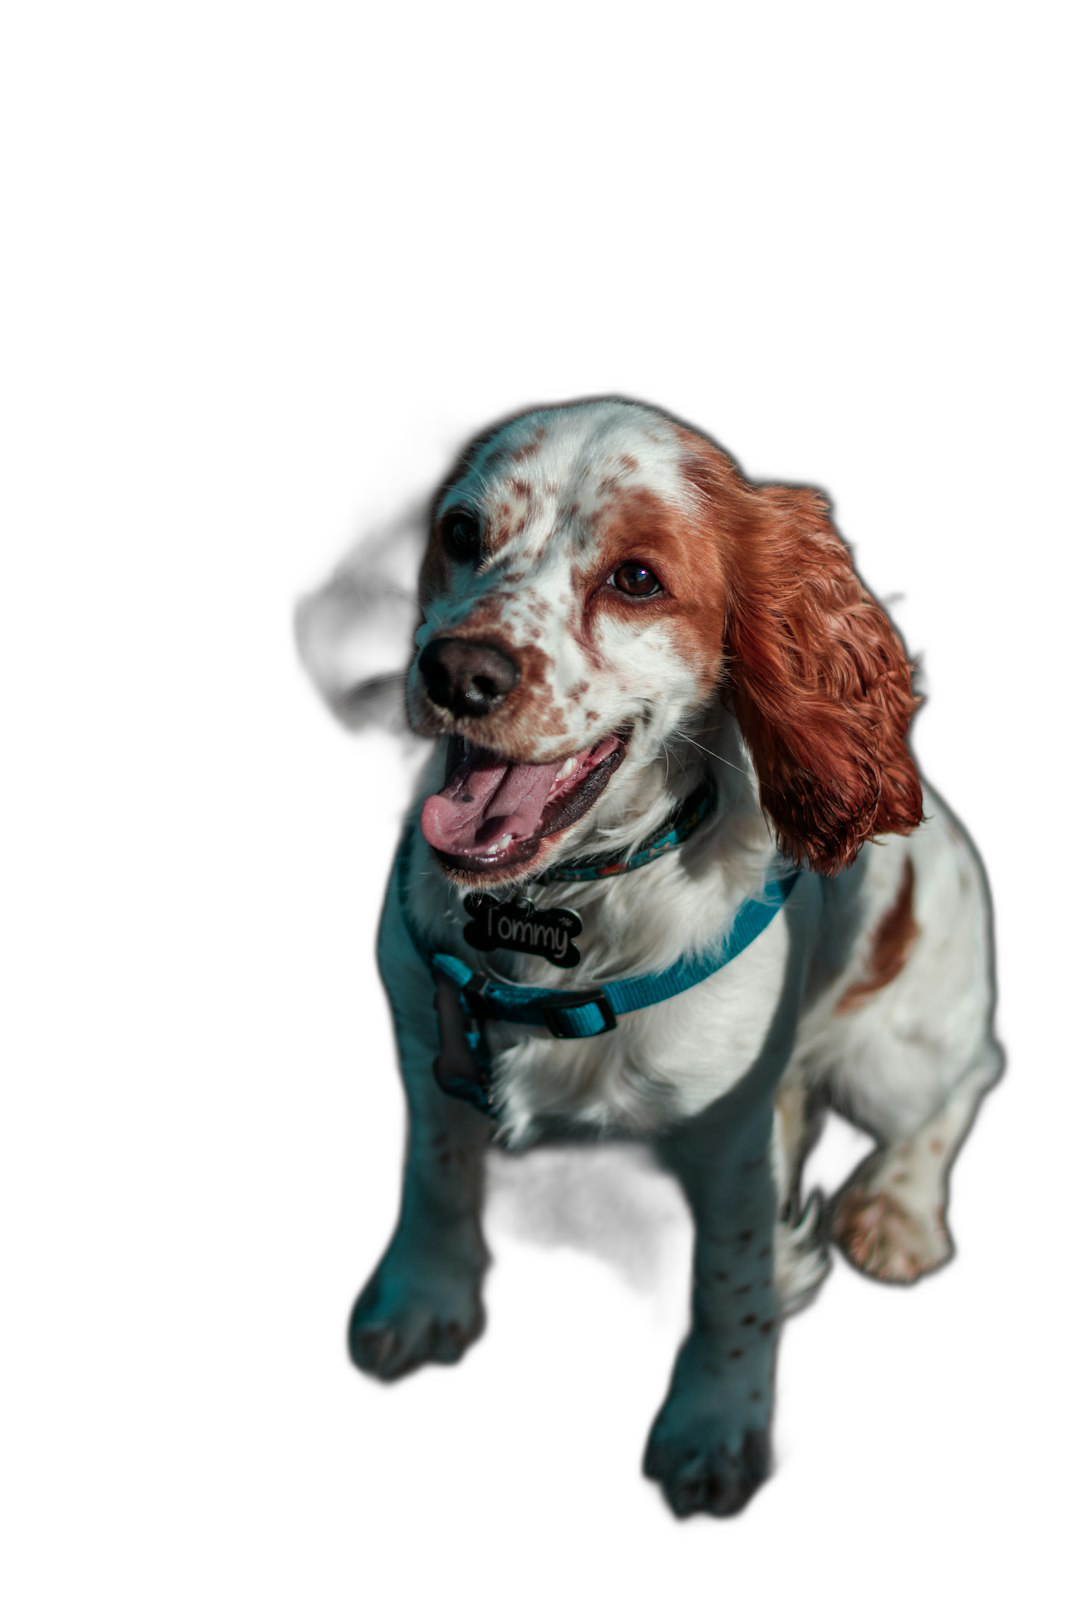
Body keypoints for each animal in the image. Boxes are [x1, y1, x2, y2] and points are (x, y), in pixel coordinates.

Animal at [319, 399, 1000, 1513]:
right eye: (461, 533)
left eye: (636, 578)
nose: (459, 671)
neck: (556, 912)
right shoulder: (429, 1047)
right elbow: (435, 1177)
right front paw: (422, 1295)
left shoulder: (731, 1151)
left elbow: (732, 1288)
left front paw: (714, 1428)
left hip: (891, 1055)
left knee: (968, 1076)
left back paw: (899, 1206)